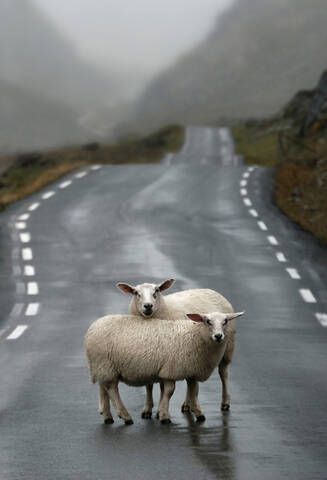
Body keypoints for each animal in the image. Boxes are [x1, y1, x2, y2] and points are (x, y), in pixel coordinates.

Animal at [84, 312, 243, 424]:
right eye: (208, 321)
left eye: (225, 321)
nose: (218, 336)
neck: (195, 335)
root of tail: (91, 329)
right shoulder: (171, 370)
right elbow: (169, 392)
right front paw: (164, 416)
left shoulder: (191, 370)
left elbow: (193, 392)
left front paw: (198, 413)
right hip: (106, 364)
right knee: (112, 390)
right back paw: (125, 416)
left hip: (103, 367)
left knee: (103, 388)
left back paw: (107, 416)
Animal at [117, 278, 236, 416]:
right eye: (136, 293)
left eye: (156, 291)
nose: (148, 306)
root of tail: (212, 291)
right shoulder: (150, 359)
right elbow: (149, 385)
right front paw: (148, 409)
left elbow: (163, 386)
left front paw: (160, 409)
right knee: (192, 380)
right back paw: (187, 405)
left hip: (227, 347)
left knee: (223, 373)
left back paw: (225, 402)